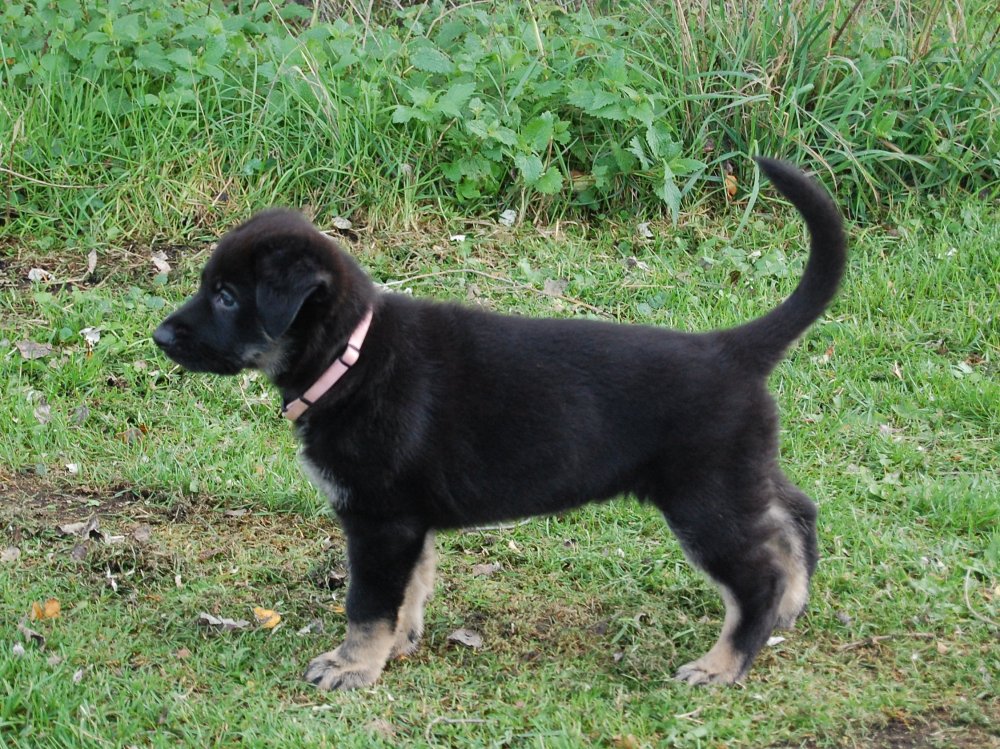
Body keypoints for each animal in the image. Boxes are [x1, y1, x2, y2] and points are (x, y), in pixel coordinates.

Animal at [153, 158, 846, 690]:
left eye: (227, 297)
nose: (159, 336)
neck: (350, 356)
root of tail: (731, 349)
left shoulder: (379, 521)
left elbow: (368, 604)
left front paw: (353, 667)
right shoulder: (406, 523)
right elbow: (409, 590)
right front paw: (398, 646)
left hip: (703, 500)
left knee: (755, 576)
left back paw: (722, 665)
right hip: (739, 476)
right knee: (796, 514)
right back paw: (792, 605)